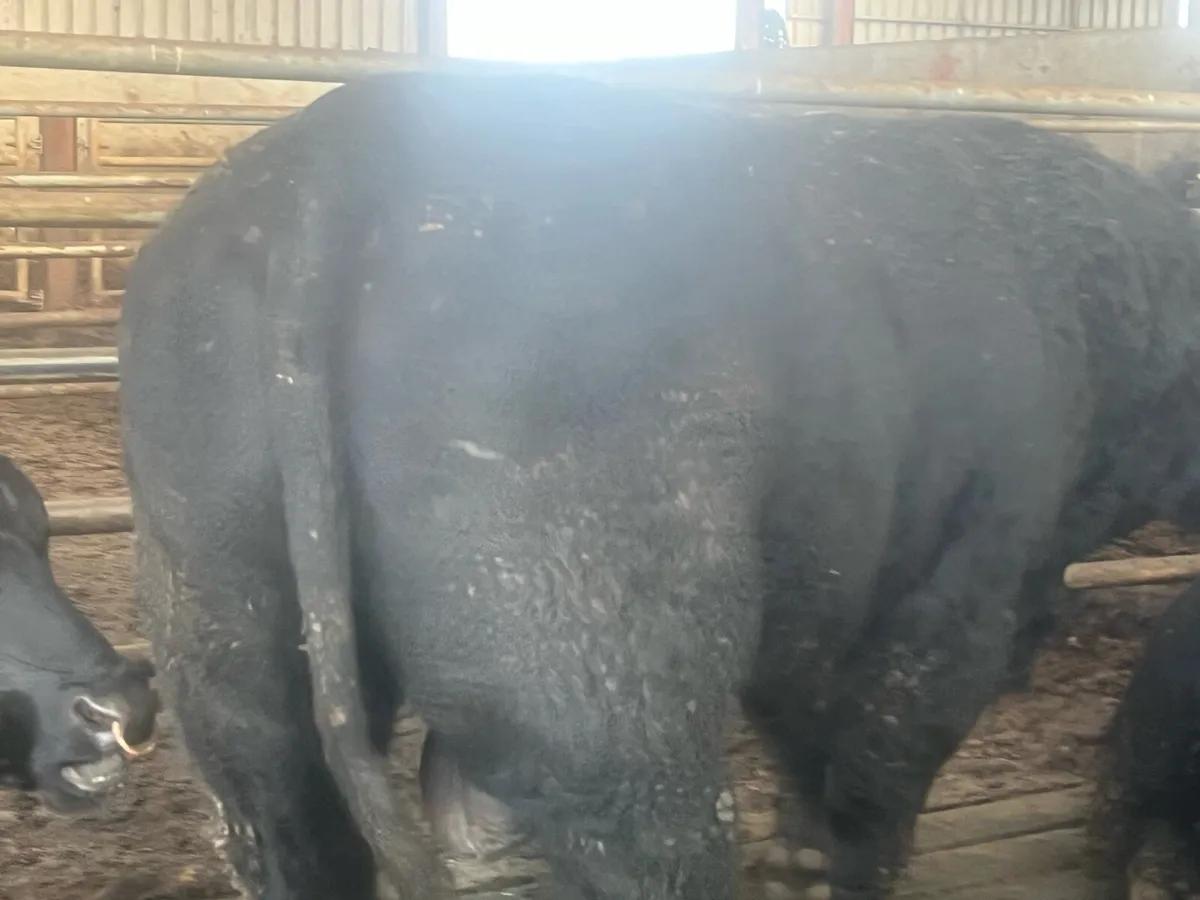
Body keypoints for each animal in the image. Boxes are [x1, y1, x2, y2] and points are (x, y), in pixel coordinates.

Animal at [118, 70, 1200, 900]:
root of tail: (335, 143)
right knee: (647, 834)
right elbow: (887, 755)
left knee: (278, 804)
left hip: (212, 592)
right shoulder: (966, 571)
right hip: (599, 653)